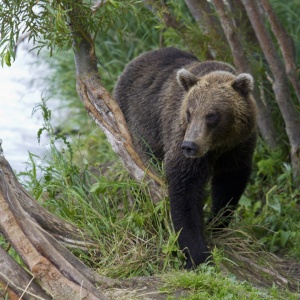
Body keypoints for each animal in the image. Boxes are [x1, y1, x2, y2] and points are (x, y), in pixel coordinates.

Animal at [113, 47, 256, 270]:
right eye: (189, 112)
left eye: (212, 115)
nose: (190, 145)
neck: (218, 146)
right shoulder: (179, 136)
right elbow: (185, 189)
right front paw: (198, 256)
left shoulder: (239, 147)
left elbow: (230, 183)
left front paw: (217, 222)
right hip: (137, 125)